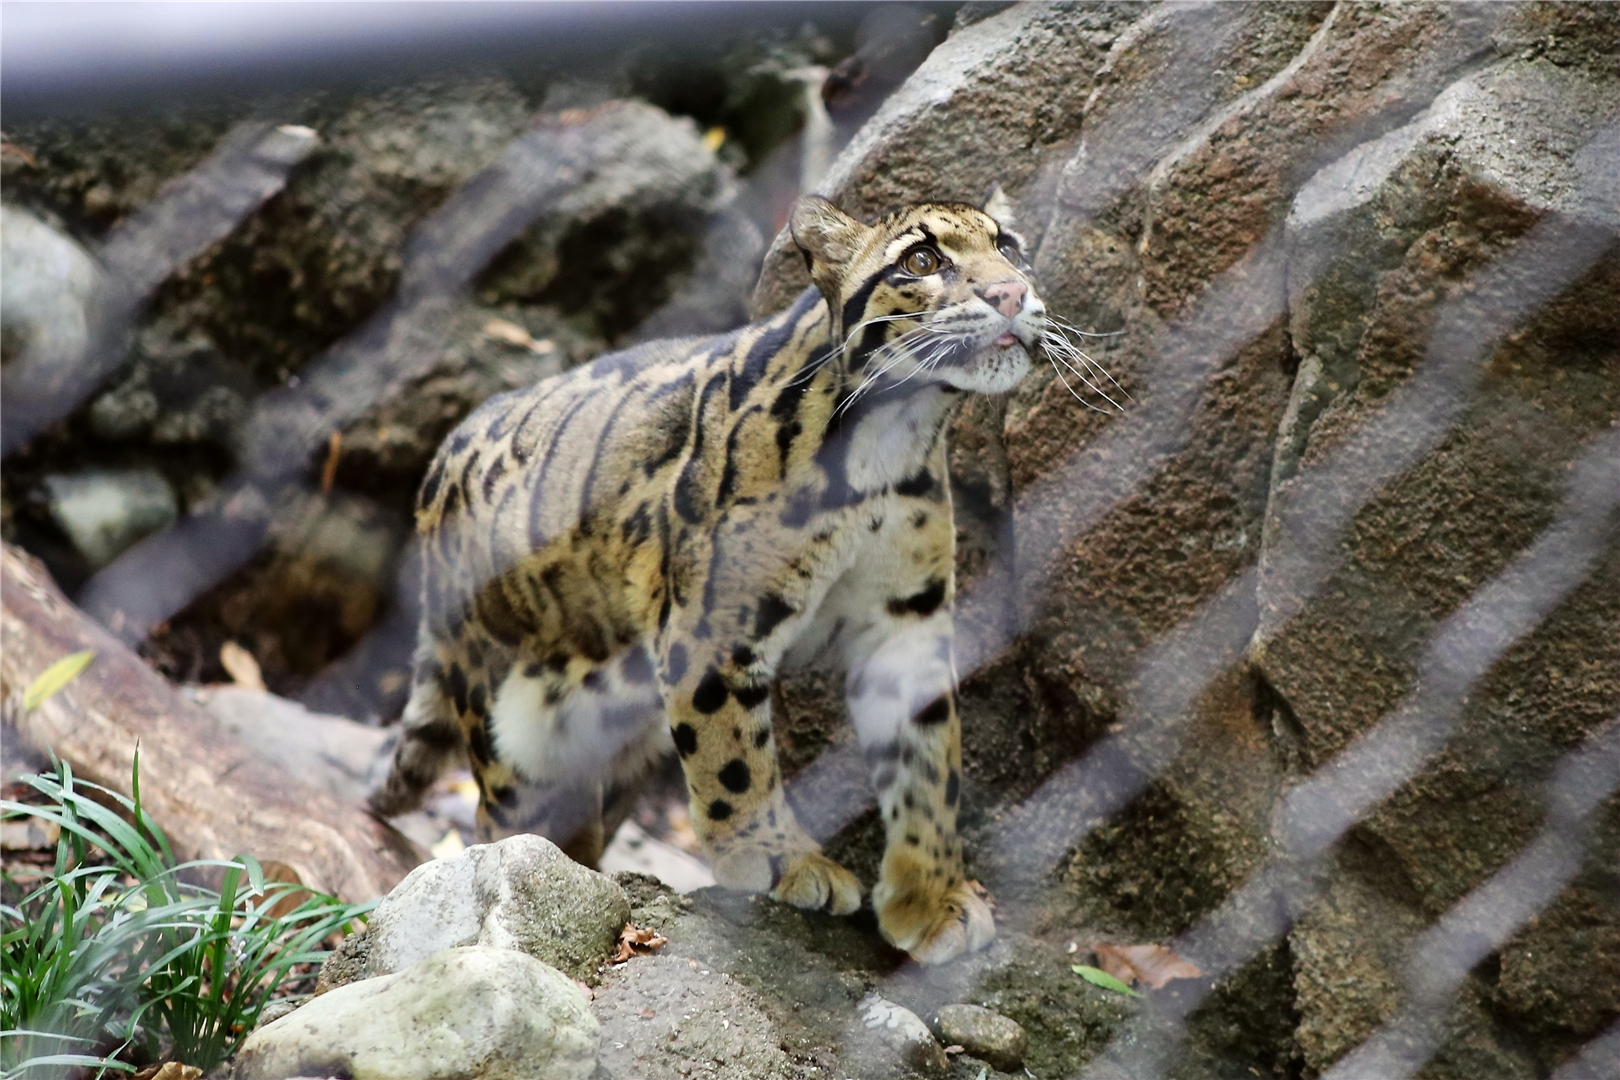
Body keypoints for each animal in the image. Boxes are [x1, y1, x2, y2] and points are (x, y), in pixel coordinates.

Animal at [369, 189, 1048, 964]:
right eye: (923, 260)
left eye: (1009, 248)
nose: (1011, 293)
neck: (893, 437)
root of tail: (435, 471)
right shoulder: (713, 628)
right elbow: (735, 758)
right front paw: (780, 859)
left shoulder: (906, 625)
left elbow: (929, 768)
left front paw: (931, 896)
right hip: (509, 724)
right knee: (507, 824)